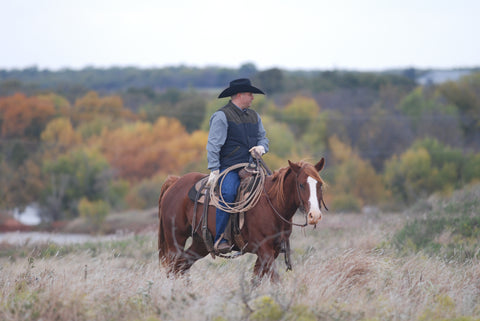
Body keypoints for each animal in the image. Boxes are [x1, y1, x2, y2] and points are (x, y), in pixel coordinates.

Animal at [158, 157, 326, 280]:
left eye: (319, 185)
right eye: (301, 185)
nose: (315, 215)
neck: (272, 204)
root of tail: (175, 182)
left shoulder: (273, 250)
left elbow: (256, 281)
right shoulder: (264, 249)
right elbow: (275, 279)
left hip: (200, 244)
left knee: (181, 266)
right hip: (175, 240)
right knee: (172, 268)